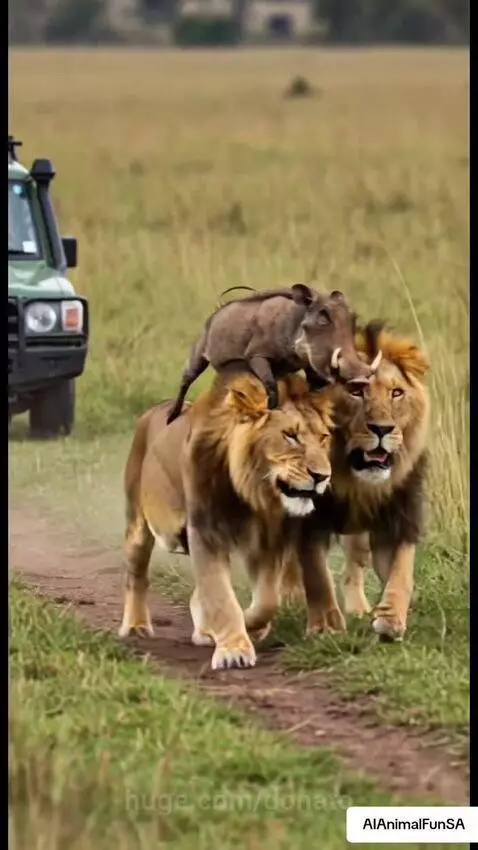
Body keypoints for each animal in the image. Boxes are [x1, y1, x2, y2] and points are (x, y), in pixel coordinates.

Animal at [119, 368, 338, 669]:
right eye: (290, 435)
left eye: (324, 437)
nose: (322, 476)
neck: (254, 493)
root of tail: (156, 407)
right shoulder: (205, 532)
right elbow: (221, 596)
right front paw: (234, 650)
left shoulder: (268, 543)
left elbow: (266, 600)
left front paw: (250, 626)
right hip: (138, 524)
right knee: (136, 576)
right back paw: (136, 626)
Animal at [282, 321, 430, 642]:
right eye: (356, 391)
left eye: (396, 393)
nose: (382, 429)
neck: (356, 482)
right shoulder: (308, 517)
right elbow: (315, 572)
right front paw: (325, 626)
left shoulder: (398, 516)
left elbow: (401, 571)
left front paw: (391, 619)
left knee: (355, 562)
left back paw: (358, 608)